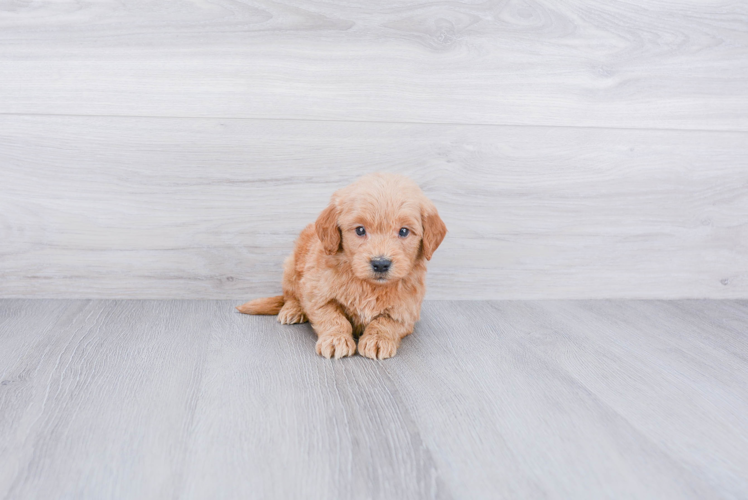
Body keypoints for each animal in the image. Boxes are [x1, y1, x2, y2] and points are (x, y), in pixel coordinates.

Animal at [235, 173, 444, 360]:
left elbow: (386, 322)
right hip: (291, 268)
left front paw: (377, 340)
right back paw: (292, 310)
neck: (368, 285)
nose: (380, 263)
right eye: (360, 230)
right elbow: (333, 317)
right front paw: (336, 339)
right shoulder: (316, 292)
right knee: (291, 296)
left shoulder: (407, 309)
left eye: (404, 231)